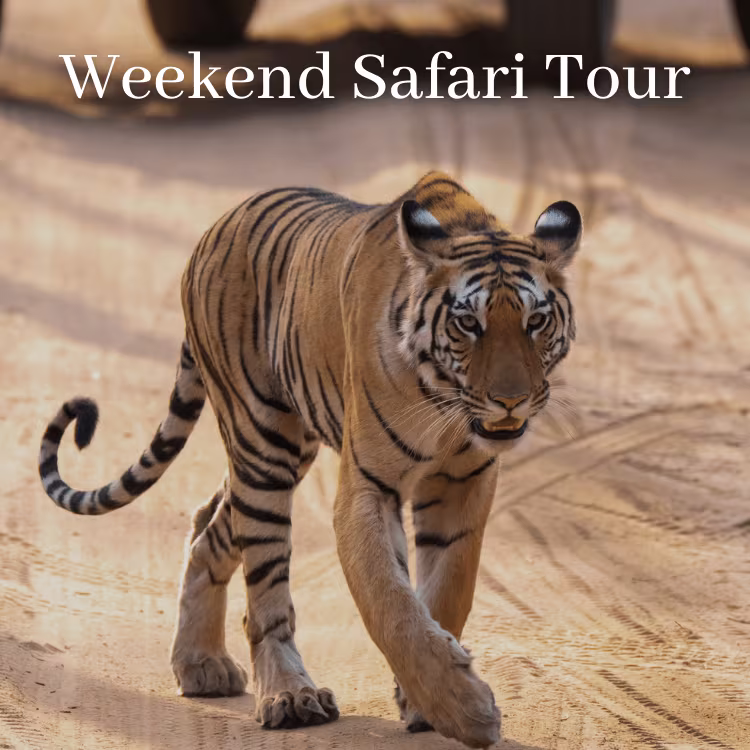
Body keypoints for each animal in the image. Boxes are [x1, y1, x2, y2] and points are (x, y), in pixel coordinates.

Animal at [38, 171, 581, 748]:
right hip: (262, 446)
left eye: (536, 321)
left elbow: (448, 592)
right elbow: (390, 605)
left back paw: (201, 665)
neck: (446, 402)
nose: (510, 400)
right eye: (468, 325)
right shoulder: (367, 485)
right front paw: (465, 710)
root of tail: (214, 229)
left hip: (282, 453)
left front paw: (426, 702)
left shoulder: (466, 481)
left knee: (209, 526)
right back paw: (290, 696)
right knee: (265, 590)